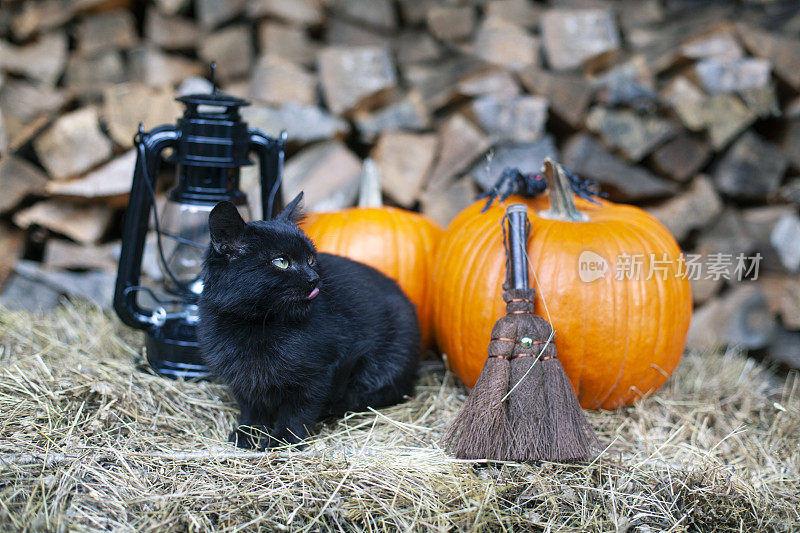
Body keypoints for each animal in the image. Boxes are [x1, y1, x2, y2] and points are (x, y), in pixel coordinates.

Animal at [197, 193, 418, 446]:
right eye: (281, 261)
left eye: (311, 259)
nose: (314, 278)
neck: (258, 325)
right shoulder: (242, 377)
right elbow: (252, 407)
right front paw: (248, 432)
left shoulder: (319, 371)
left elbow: (298, 409)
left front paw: (282, 439)